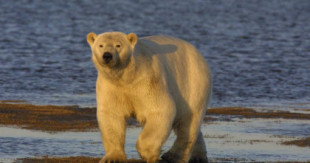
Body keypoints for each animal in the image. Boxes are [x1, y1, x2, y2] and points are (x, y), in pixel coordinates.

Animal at [88, 31, 213, 163]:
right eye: (101, 45)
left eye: (118, 45)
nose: (107, 55)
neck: (127, 76)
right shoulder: (111, 87)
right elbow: (112, 115)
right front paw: (112, 158)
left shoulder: (148, 81)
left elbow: (160, 110)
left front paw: (147, 153)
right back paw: (198, 156)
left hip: (193, 84)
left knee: (188, 120)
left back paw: (172, 156)